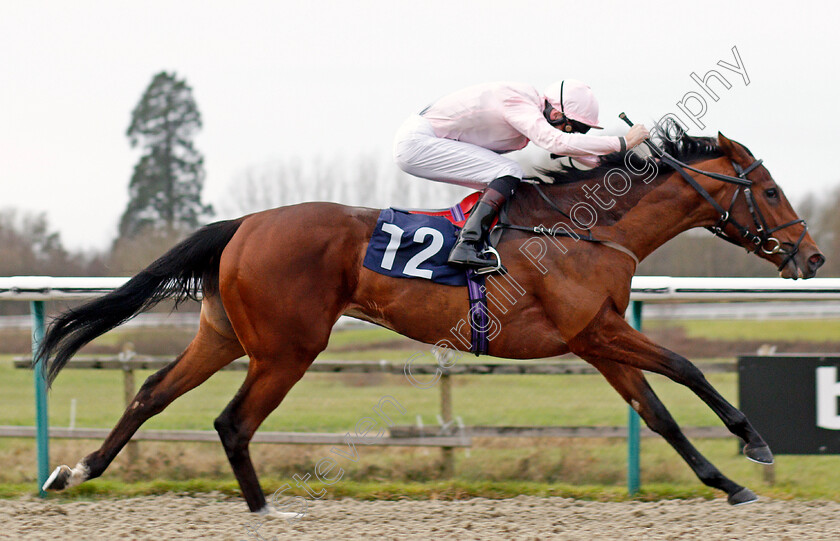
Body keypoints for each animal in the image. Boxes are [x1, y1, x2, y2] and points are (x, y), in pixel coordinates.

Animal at [36, 124, 824, 512]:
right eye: (771, 190)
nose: (811, 256)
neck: (586, 228)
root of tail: (244, 224)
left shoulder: (596, 339)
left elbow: (655, 412)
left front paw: (727, 483)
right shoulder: (599, 330)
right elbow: (689, 368)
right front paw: (754, 442)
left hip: (225, 334)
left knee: (150, 394)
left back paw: (73, 472)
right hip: (286, 349)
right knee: (233, 421)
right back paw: (266, 512)